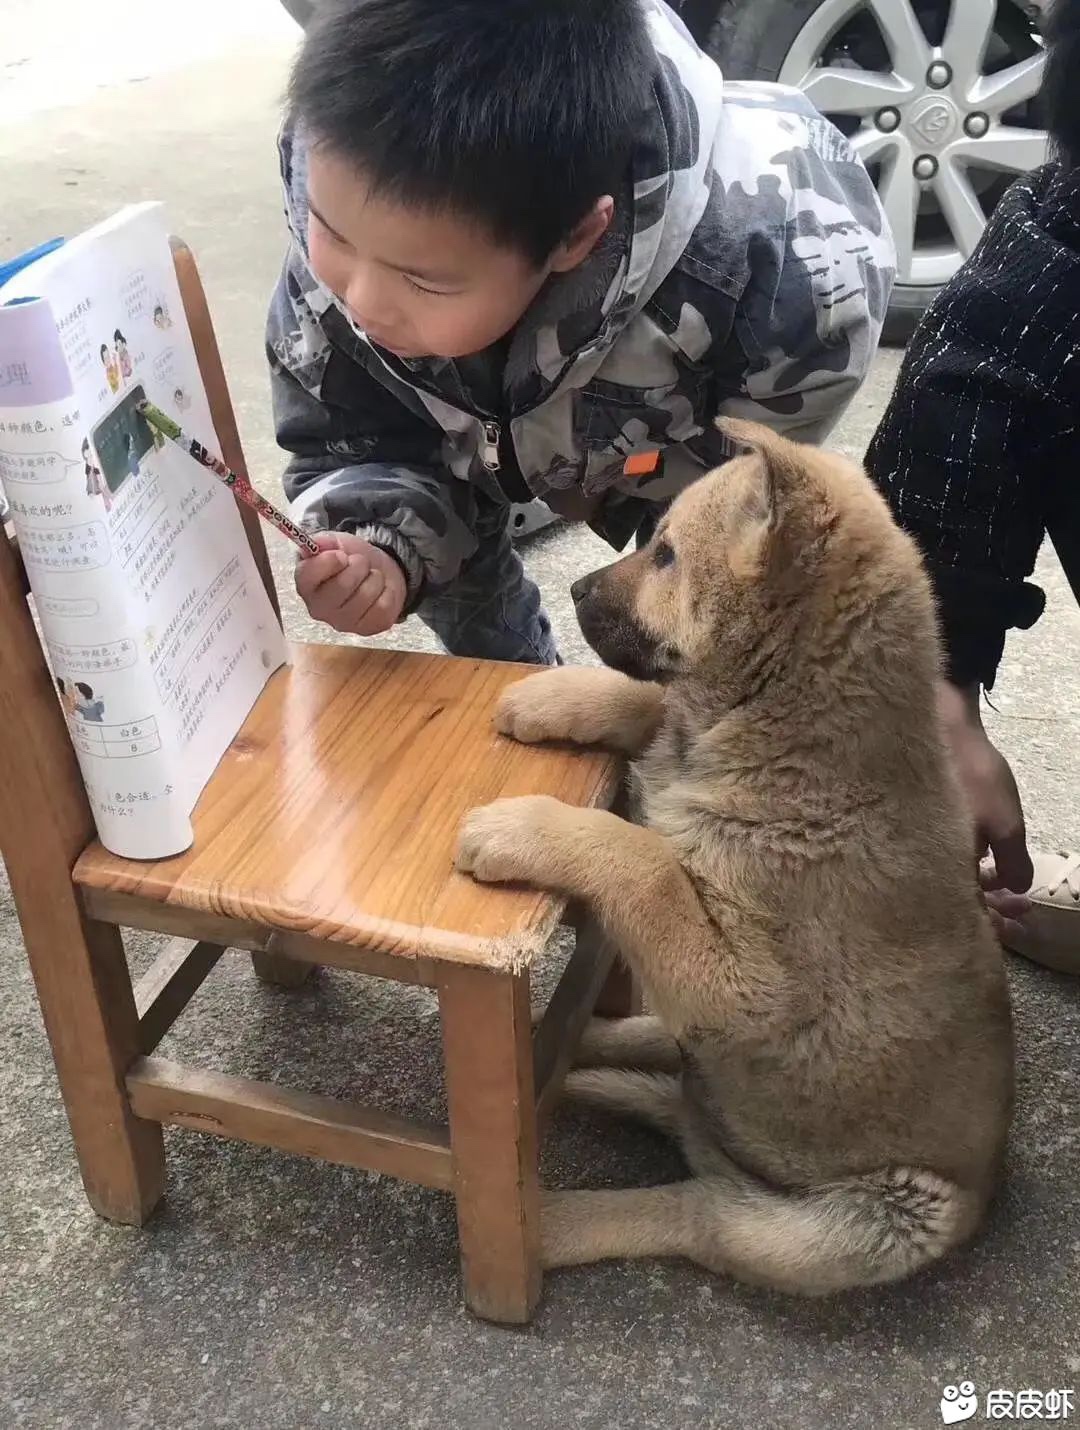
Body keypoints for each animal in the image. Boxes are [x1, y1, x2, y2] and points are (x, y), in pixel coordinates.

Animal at [454, 417, 1012, 1298]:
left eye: (667, 555)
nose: (574, 592)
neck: (787, 745)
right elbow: (650, 704)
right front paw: (552, 698)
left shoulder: (741, 985)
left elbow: (640, 858)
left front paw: (524, 828)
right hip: (710, 1089)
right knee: (673, 1091)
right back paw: (588, 1064)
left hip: (863, 1220)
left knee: (698, 1212)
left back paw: (553, 1218)